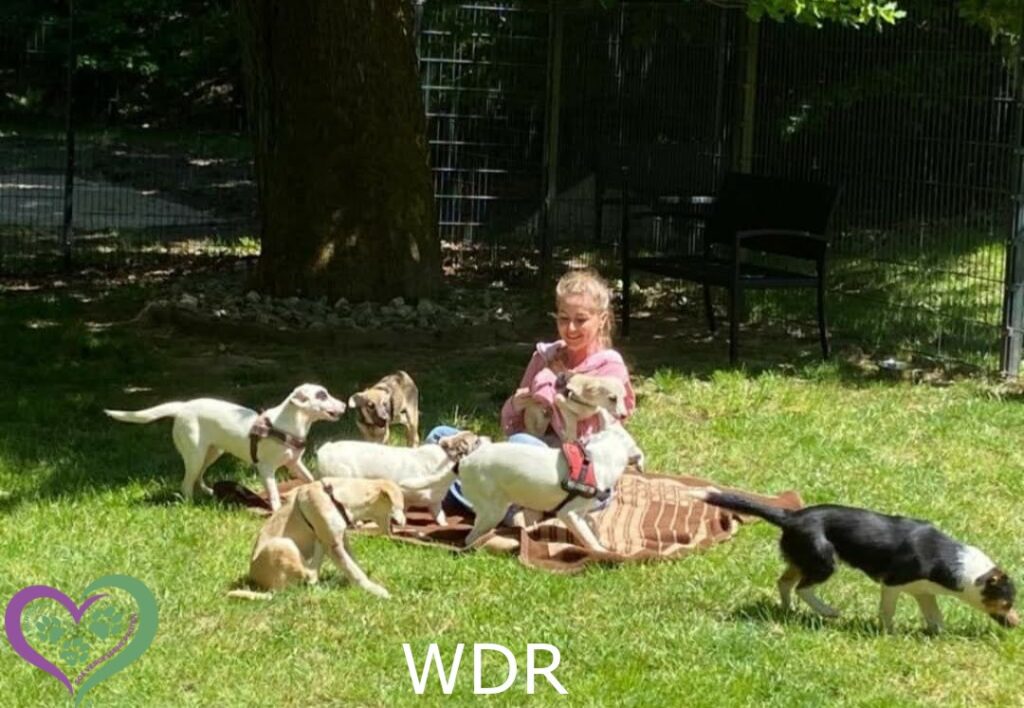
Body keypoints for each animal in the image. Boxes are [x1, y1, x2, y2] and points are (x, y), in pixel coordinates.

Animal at [104, 383, 346, 512]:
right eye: (322, 395)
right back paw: (190, 504)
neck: (288, 423)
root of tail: (182, 407)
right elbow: (274, 494)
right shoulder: (266, 469)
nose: (344, 404)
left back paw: (210, 492)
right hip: (195, 454)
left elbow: (311, 479)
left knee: (198, 477)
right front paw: (277, 510)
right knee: (186, 483)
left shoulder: (295, 463)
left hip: (212, 452)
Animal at [227, 477, 404, 600]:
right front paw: (375, 590)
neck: (337, 499)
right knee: (310, 575)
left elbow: (354, 564)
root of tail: (270, 588)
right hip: (283, 544)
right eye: (401, 506)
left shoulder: (342, 539)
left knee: (312, 577)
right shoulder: (334, 545)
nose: (404, 522)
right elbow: (354, 571)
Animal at [316, 430, 485, 526]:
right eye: (476, 441)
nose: (484, 437)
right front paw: (400, 520)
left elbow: (439, 515)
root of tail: (325, 449)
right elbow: (400, 507)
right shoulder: (403, 492)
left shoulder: (434, 502)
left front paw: (443, 524)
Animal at [456, 410, 643, 551]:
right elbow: (589, 538)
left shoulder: (582, 513)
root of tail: (464, 462)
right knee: (470, 538)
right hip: (494, 510)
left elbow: (591, 524)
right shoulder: (569, 514)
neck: (597, 457)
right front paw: (601, 552)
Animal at [692, 489, 1019, 633]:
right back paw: (828, 612)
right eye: (1006, 603)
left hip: (803, 559)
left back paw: (788, 611)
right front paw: (888, 634)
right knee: (802, 588)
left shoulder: (923, 592)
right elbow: (887, 612)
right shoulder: (893, 584)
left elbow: (935, 617)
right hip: (825, 560)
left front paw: (939, 636)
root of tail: (790, 517)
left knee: (784, 583)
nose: (1017, 624)